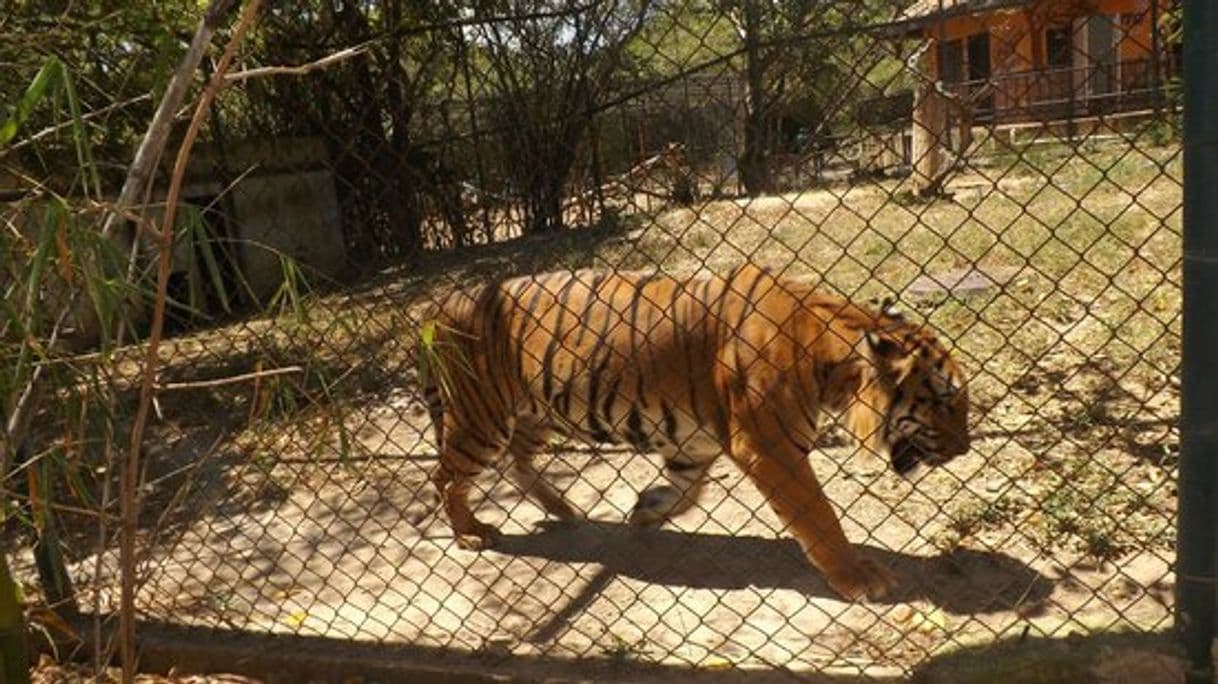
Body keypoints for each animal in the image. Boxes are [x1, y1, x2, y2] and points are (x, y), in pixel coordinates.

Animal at [418, 260, 969, 596]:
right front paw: (859, 577)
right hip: (481, 419)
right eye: (945, 402)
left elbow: (689, 492)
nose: (964, 449)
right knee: (445, 477)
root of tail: (442, 302)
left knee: (517, 461)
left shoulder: (694, 441)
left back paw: (562, 508)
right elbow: (819, 517)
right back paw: (471, 533)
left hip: (534, 412)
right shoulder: (770, 446)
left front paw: (647, 510)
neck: (828, 355)